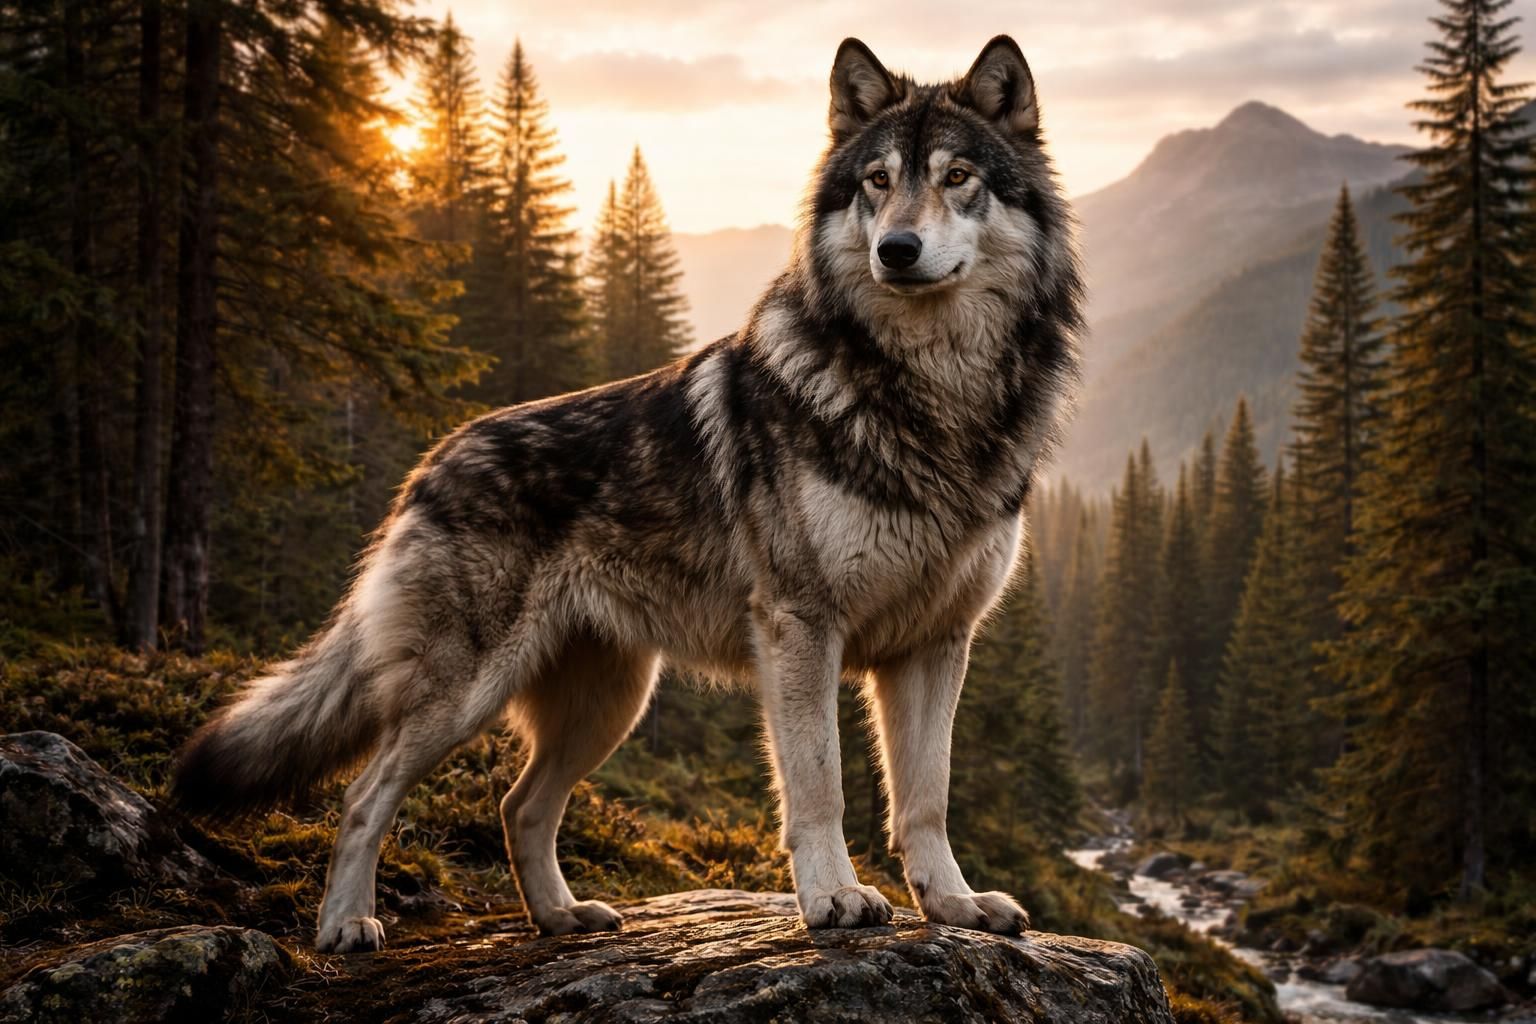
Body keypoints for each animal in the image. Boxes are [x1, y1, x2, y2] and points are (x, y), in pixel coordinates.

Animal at [173, 34, 1083, 953]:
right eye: (877, 180)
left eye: (957, 175)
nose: (895, 248)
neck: (930, 394)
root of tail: (428, 466)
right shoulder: (801, 629)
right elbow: (819, 787)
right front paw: (833, 898)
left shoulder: (936, 644)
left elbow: (926, 800)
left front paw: (955, 905)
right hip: (466, 699)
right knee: (365, 796)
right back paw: (346, 925)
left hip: (608, 705)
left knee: (518, 806)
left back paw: (559, 917)